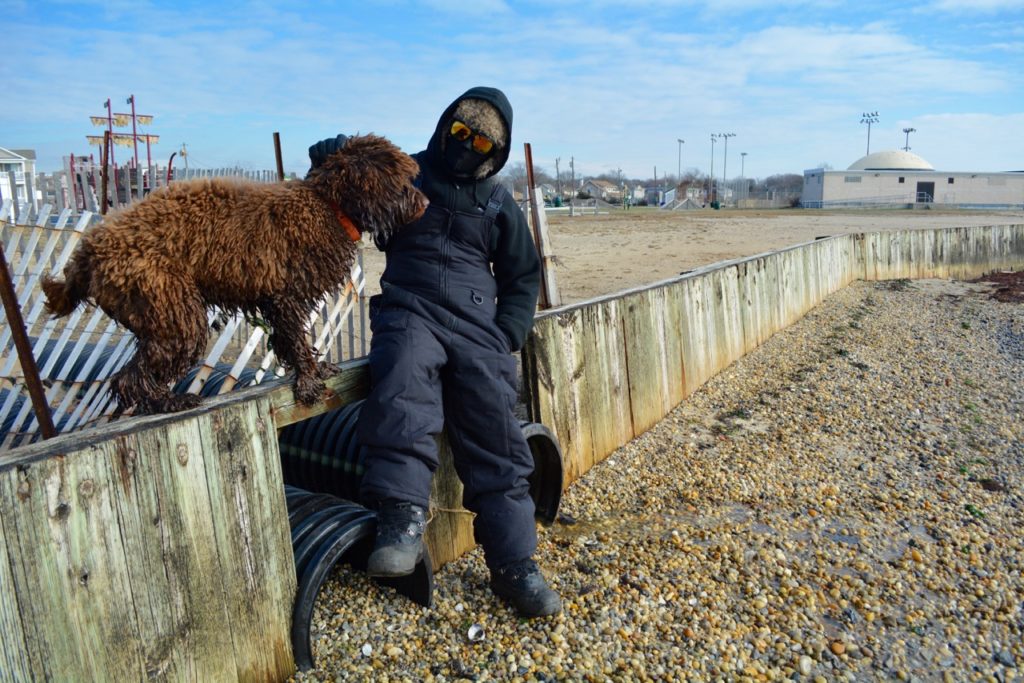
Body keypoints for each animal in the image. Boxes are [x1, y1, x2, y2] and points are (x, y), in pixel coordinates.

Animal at [43, 132, 428, 411]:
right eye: (400, 181)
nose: (424, 203)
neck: (327, 206)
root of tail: (88, 252)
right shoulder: (286, 297)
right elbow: (296, 342)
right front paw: (308, 382)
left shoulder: (279, 302)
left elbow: (290, 342)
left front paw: (316, 370)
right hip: (172, 311)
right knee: (128, 378)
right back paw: (170, 401)